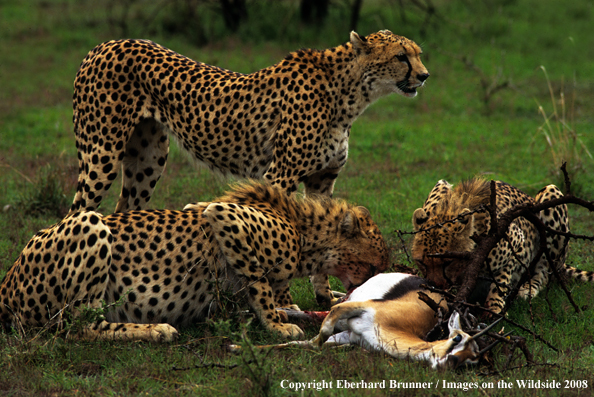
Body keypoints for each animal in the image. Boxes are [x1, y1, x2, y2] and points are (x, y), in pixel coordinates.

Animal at [0, 183, 388, 340]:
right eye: (373, 266)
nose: (370, 286)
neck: (302, 229)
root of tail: (7, 280)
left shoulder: (210, 207)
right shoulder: (226, 218)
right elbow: (260, 286)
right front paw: (277, 326)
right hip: (91, 225)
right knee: (79, 325)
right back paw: (154, 330)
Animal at [410, 179, 588, 312]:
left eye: (448, 262)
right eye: (421, 262)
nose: (435, 286)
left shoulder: (519, 244)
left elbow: (502, 277)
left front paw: (494, 304)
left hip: (550, 193)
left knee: (545, 271)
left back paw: (528, 288)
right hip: (441, 184)